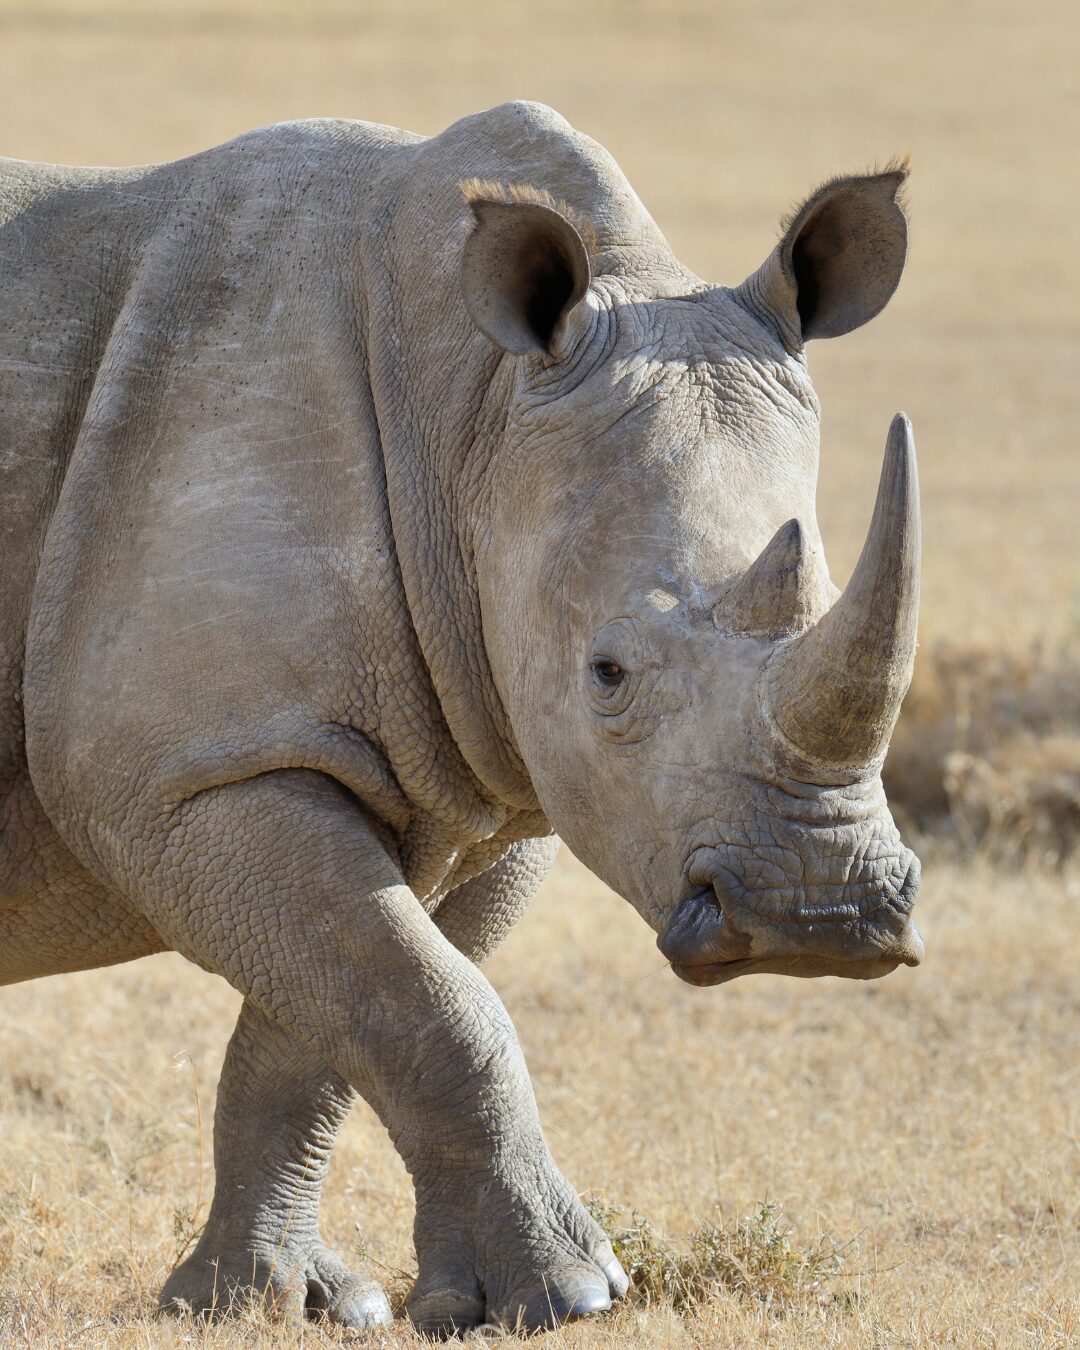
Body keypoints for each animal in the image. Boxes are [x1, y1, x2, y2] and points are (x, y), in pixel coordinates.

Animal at [0, 101, 923, 1333]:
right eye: (608, 673)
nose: (819, 918)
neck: (468, 418)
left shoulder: (483, 779)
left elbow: (341, 1022)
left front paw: (270, 1303)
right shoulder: (191, 770)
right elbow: (433, 1006)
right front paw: (567, 1296)